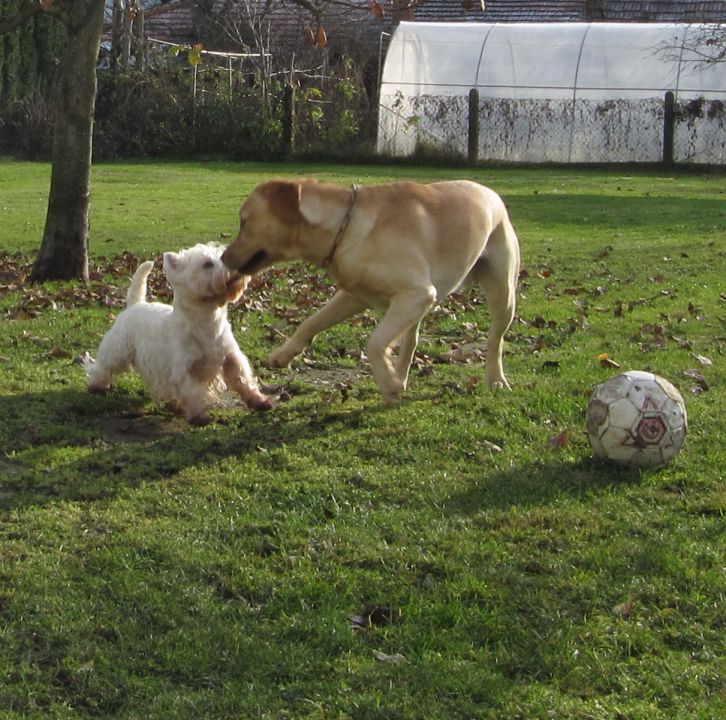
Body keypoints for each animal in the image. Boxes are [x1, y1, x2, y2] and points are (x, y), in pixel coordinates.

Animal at [86, 243, 272, 422]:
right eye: (207, 264)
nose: (237, 266)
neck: (207, 322)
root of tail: (135, 304)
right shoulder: (184, 368)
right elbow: (193, 391)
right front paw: (199, 415)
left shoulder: (230, 357)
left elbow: (243, 379)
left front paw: (260, 401)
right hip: (118, 349)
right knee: (103, 366)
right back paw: (96, 386)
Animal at [223, 179, 524, 404]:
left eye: (243, 222)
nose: (224, 258)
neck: (346, 228)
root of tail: (490, 192)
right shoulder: (354, 296)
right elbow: (310, 323)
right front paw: (283, 354)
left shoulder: (415, 294)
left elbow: (375, 343)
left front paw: (388, 383)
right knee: (411, 341)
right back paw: (401, 376)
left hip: (501, 296)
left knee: (495, 340)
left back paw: (496, 380)